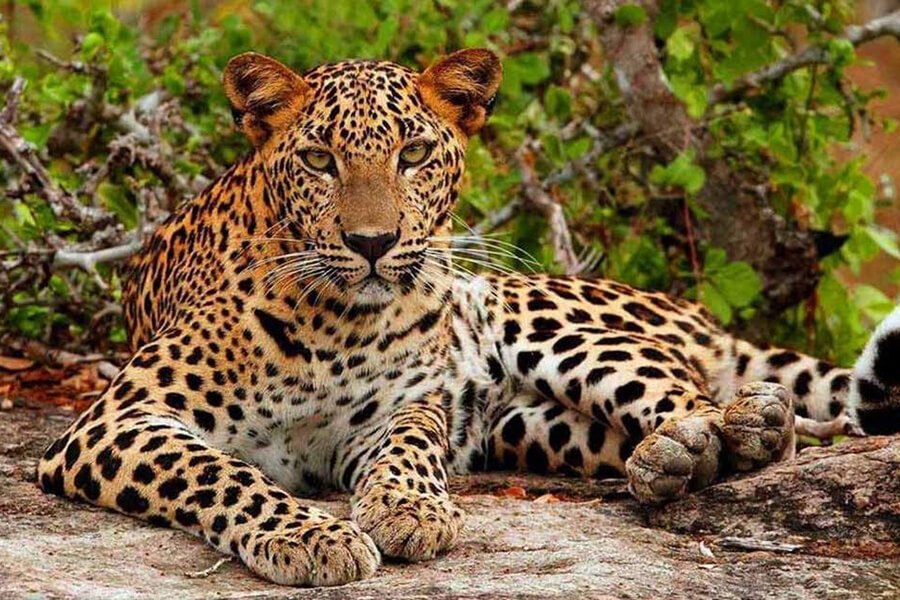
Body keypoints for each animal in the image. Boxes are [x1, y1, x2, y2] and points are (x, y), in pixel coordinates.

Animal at [37, 48, 900, 587]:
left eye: (414, 154)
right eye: (318, 161)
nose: (374, 243)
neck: (333, 325)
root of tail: (689, 308)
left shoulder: (402, 405)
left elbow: (409, 448)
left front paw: (409, 509)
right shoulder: (117, 420)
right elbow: (219, 472)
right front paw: (312, 535)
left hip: (538, 318)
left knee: (693, 389)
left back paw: (727, 429)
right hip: (530, 426)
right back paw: (673, 460)